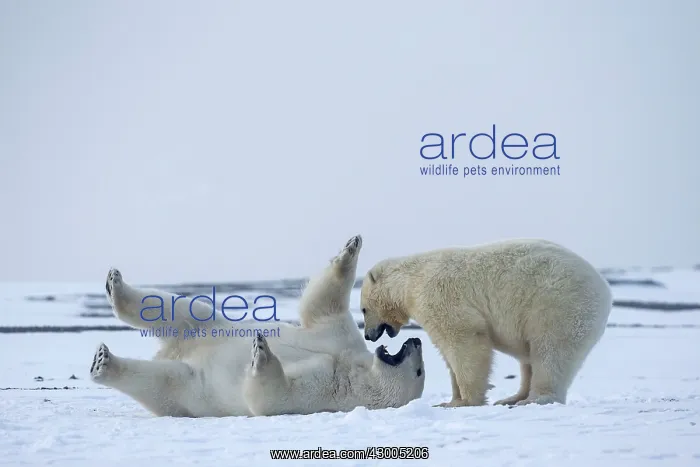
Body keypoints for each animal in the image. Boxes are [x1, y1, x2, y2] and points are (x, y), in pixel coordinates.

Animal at [90, 235, 425, 417]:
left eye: (420, 372)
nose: (417, 341)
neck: (357, 370)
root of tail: (172, 351)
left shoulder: (330, 393)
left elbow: (269, 398)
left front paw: (260, 353)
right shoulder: (341, 339)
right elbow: (322, 307)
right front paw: (351, 248)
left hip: (188, 391)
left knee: (160, 380)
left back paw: (103, 363)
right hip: (211, 325)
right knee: (182, 309)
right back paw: (114, 285)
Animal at [360, 238, 613, 408]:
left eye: (363, 309)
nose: (368, 335)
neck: (410, 281)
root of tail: (605, 289)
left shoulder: (439, 295)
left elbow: (464, 341)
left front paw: (464, 401)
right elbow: (447, 352)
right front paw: (452, 399)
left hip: (558, 305)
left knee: (551, 351)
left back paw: (534, 398)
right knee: (530, 359)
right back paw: (512, 397)